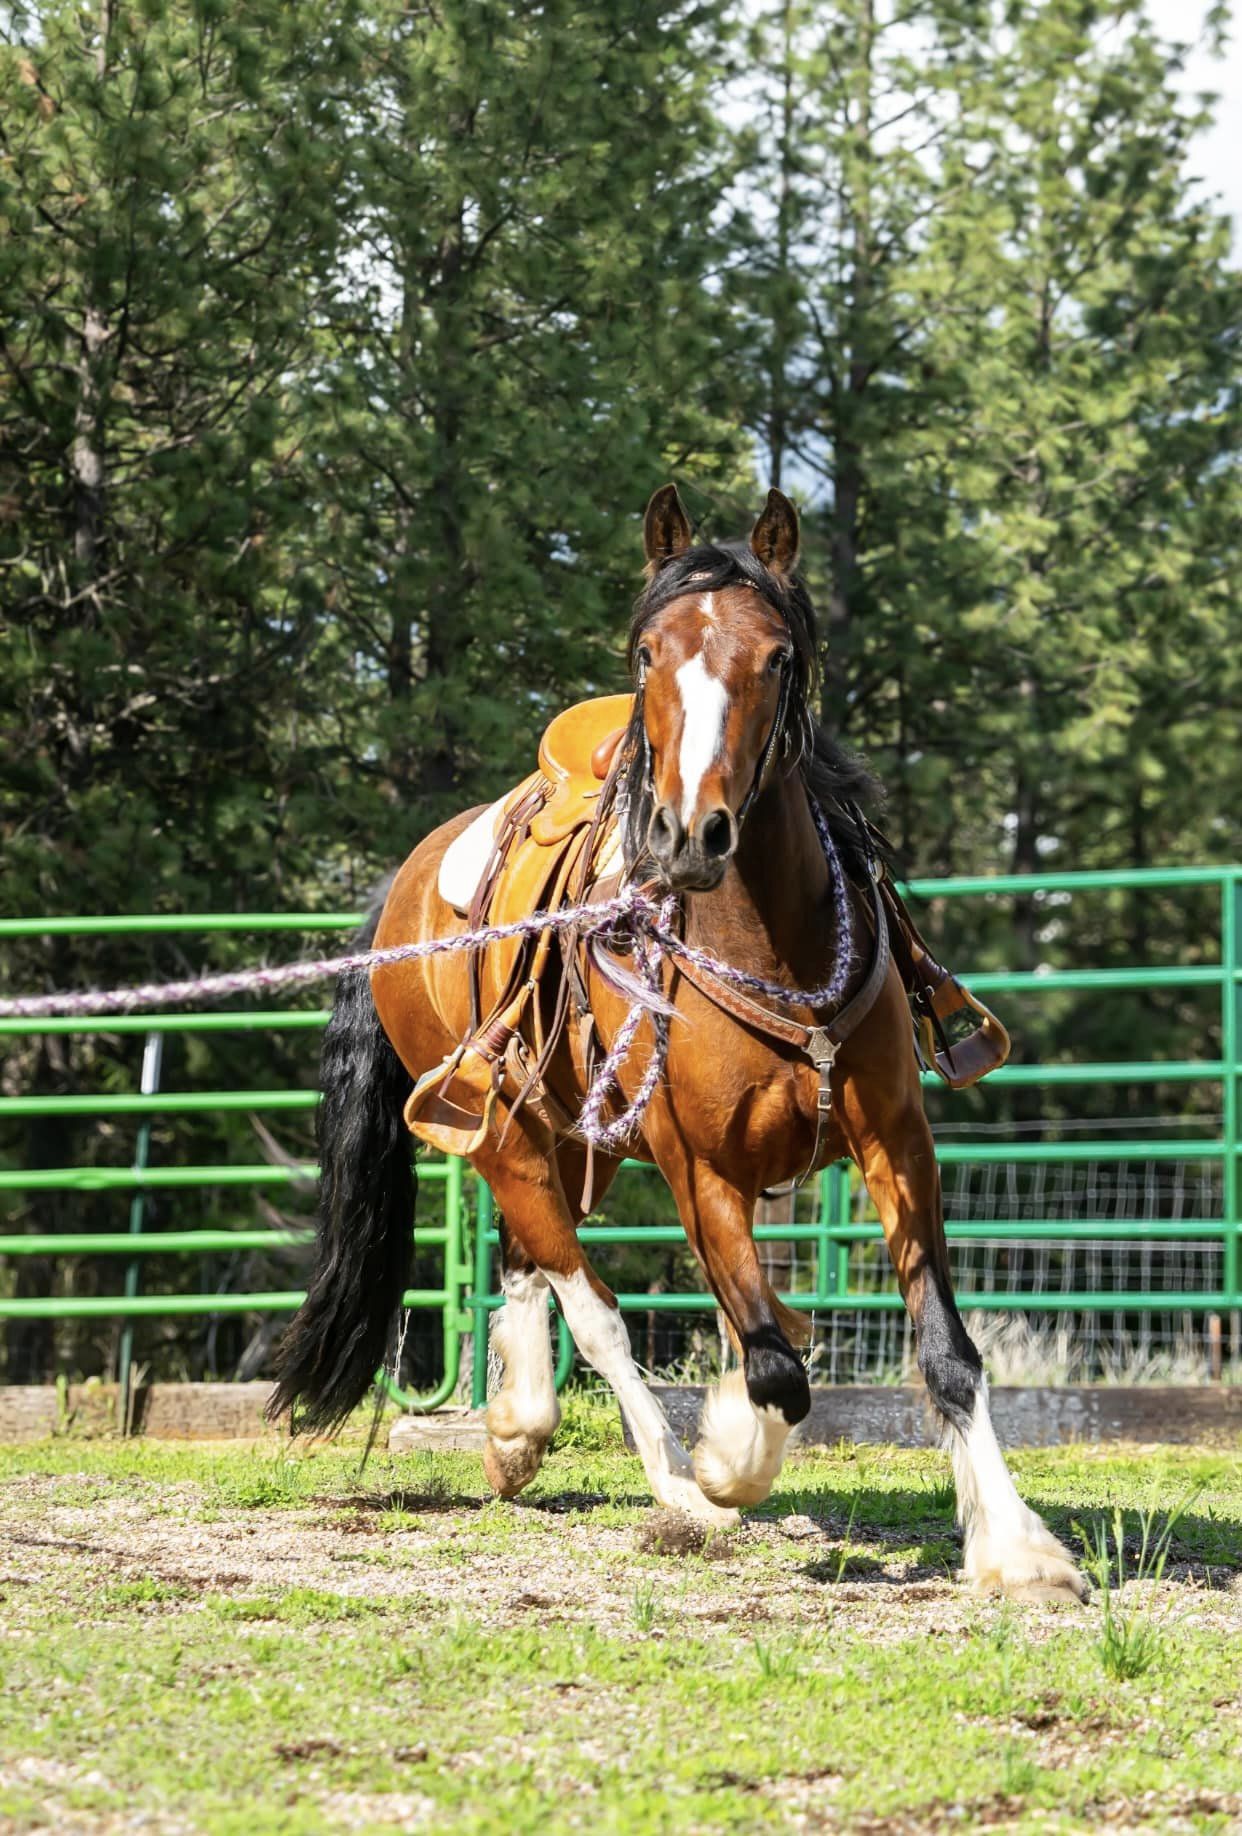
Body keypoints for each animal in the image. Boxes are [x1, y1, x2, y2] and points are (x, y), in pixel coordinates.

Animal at [271, 481, 1087, 1600]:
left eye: (777, 657)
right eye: (649, 654)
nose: (690, 834)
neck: (772, 952)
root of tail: (407, 884)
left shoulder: (895, 1142)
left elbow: (938, 1349)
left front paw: (1014, 1545)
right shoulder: (700, 1168)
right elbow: (771, 1363)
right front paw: (728, 1460)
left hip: (569, 1135)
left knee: (532, 1259)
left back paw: (516, 1431)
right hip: (504, 1133)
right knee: (590, 1302)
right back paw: (671, 1486)